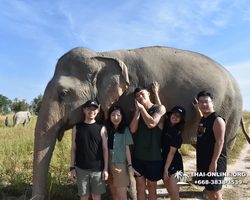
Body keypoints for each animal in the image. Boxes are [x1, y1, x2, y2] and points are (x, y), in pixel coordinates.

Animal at [31, 46, 250, 199]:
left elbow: (131, 145)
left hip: (230, 113)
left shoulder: (128, 97)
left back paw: (206, 193)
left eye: (63, 93)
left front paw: (132, 194)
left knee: (222, 148)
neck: (102, 56)